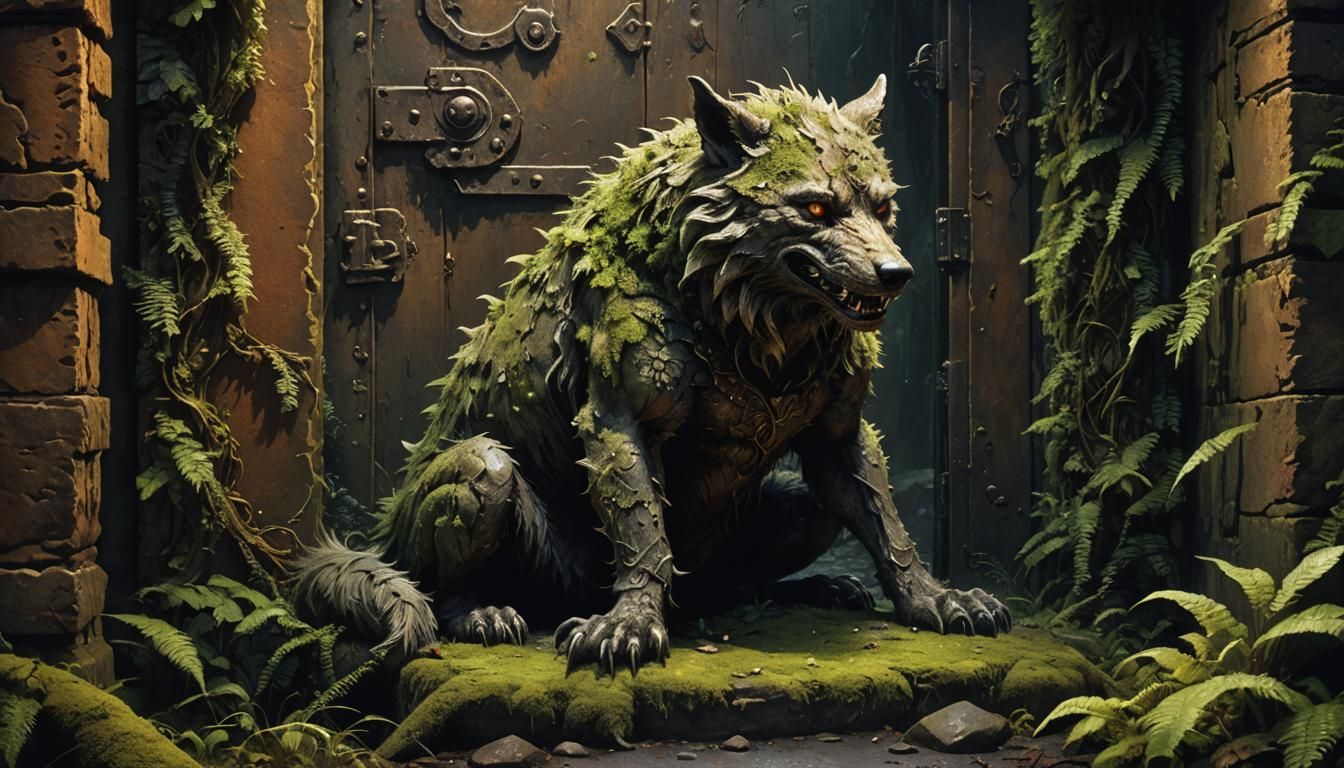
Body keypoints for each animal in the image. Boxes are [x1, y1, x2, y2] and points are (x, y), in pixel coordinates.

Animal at [295, 76, 1010, 675]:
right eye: (814, 209)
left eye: (883, 208)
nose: (897, 273)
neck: (745, 318)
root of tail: (383, 529)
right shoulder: (618, 421)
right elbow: (642, 530)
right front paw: (632, 624)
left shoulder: (841, 435)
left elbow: (891, 528)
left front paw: (937, 600)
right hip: (487, 482)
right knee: (451, 562)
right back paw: (482, 613)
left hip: (792, 513)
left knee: (739, 575)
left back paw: (816, 587)